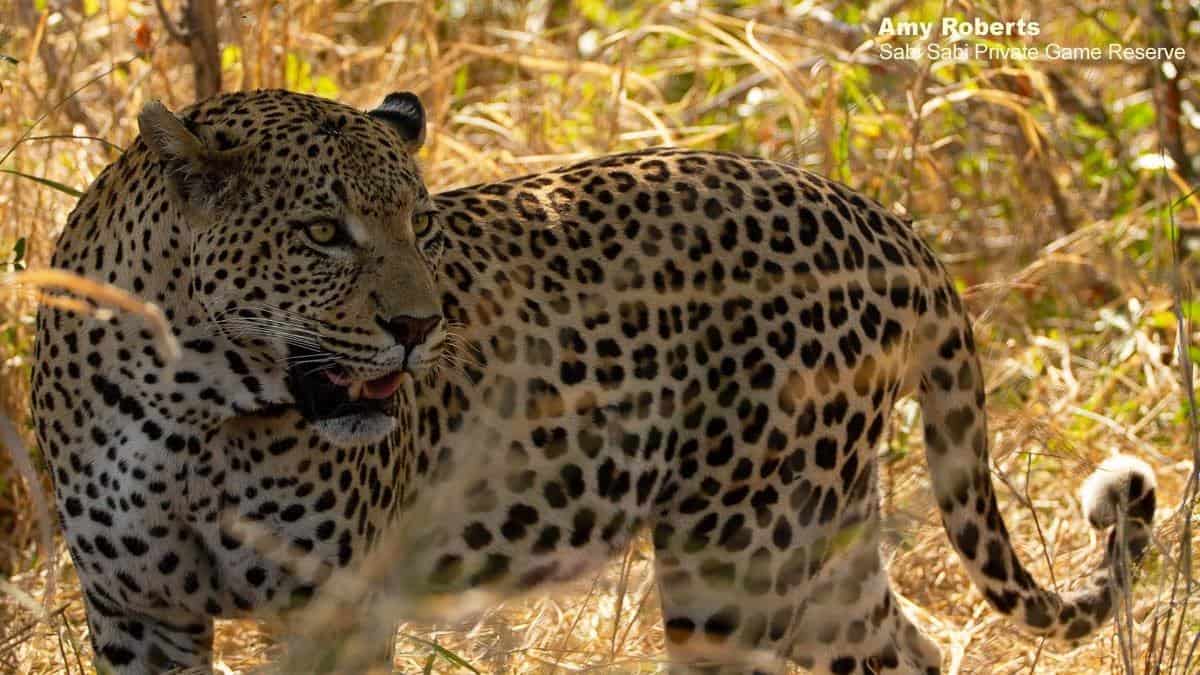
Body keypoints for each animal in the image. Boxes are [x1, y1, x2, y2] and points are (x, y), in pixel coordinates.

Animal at [31, 89, 1157, 675]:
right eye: (322, 233)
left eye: (420, 226)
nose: (420, 328)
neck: (194, 411)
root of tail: (881, 218)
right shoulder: (135, 615)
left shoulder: (335, 613)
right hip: (815, 554)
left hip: (744, 555)